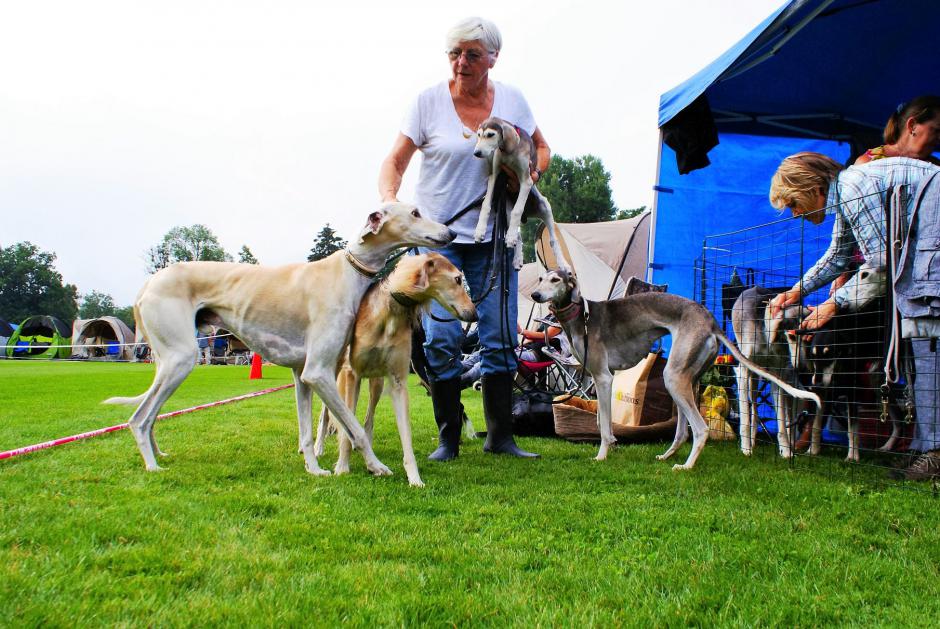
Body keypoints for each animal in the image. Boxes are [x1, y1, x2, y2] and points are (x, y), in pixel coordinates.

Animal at [103, 204, 456, 478]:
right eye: (415, 212)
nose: (450, 233)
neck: (347, 271)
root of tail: (147, 285)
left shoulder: (303, 374)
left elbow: (306, 431)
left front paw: (314, 469)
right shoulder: (318, 371)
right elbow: (355, 428)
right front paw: (376, 466)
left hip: (167, 361)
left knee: (150, 415)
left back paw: (157, 454)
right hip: (182, 358)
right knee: (138, 419)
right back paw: (152, 465)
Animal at [314, 253, 478, 488]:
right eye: (457, 279)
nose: (475, 315)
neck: (389, 312)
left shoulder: (398, 381)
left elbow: (405, 437)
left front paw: (414, 478)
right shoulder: (352, 373)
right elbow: (345, 426)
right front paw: (342, 468)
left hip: (377, 381)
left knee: (368, 419)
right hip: (335, 371)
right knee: (327, 413)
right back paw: (318, 447)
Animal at [470, 115, 564, 270]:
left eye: (490, 134)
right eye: (479, 135)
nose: (476, 153)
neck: (507, 151)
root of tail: (528, 214)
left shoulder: (526, 181)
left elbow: (517, 210)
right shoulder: (494, 176)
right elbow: (485, 205)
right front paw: (479, 231)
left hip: (544, 208)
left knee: (553, 241)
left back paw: (564, 266)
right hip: (506, 210)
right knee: (518, 236)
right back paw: (516, 256)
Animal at [532, 268, 820, 468]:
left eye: (556, 280)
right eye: (540, 279)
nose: (535, 295)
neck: (581, 318)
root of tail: (711, 320)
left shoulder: (603, 378)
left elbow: (603, 426)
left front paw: (602, 455)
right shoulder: (601, 378)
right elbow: (605, 424)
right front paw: (612, 447)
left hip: (674, 376)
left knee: (701, 430)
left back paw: (686, 466)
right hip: (686, 379)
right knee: (683, 431)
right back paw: (668, 455)